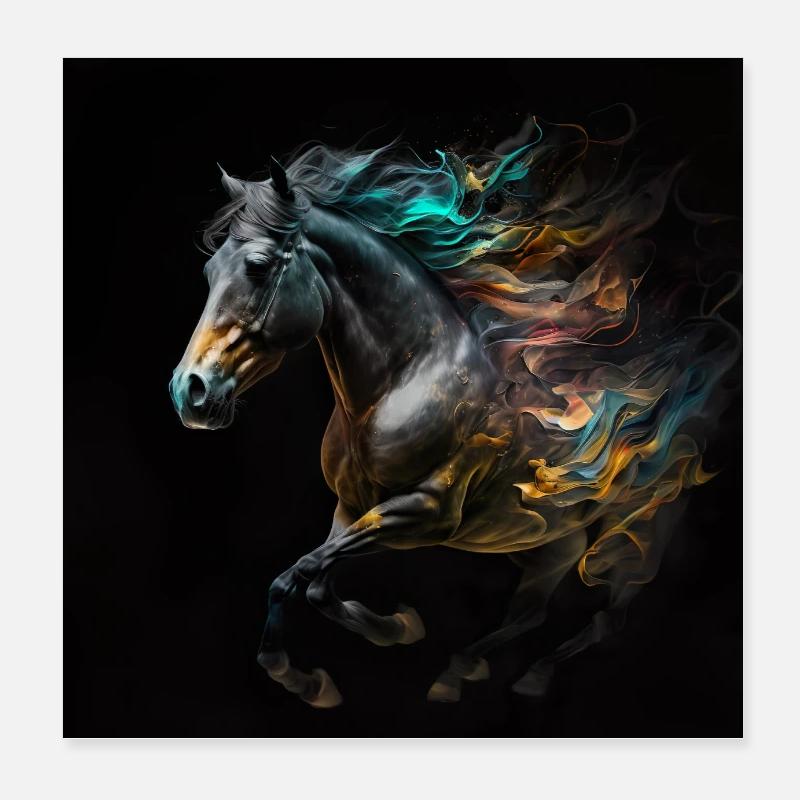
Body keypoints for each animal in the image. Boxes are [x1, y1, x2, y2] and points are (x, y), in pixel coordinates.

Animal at [169, 125, 739, 708]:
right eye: (209, 270)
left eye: (258, 266)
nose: (190, 391)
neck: (410, 378)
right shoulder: (351, 509)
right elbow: (315, 585)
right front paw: (389, 633)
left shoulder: (425, 512)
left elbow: (300, 573)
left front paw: (305, 672)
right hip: (547, 544)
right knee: (531, 612)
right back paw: (463, 671)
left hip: (633, 539)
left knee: (608, 618)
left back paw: (525, 676)